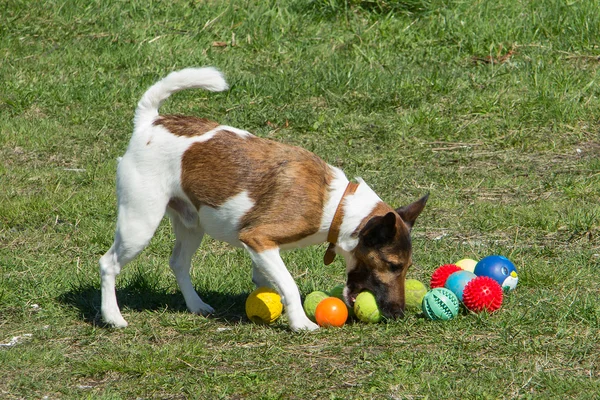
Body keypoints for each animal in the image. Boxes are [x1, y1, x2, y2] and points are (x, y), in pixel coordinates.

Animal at [99, 67, 426, 332]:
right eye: (394, 266)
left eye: (406, 267)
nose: (398, 314)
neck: (337, 207)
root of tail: (150, 121)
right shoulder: (259, 240)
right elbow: (289, 285)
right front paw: (300, 324)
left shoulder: (262, 251)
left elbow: (269, 283)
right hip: (139, 223)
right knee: (108, 264)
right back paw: (113, 317)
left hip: (192, 225)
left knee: (178, 262)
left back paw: (196, 305)